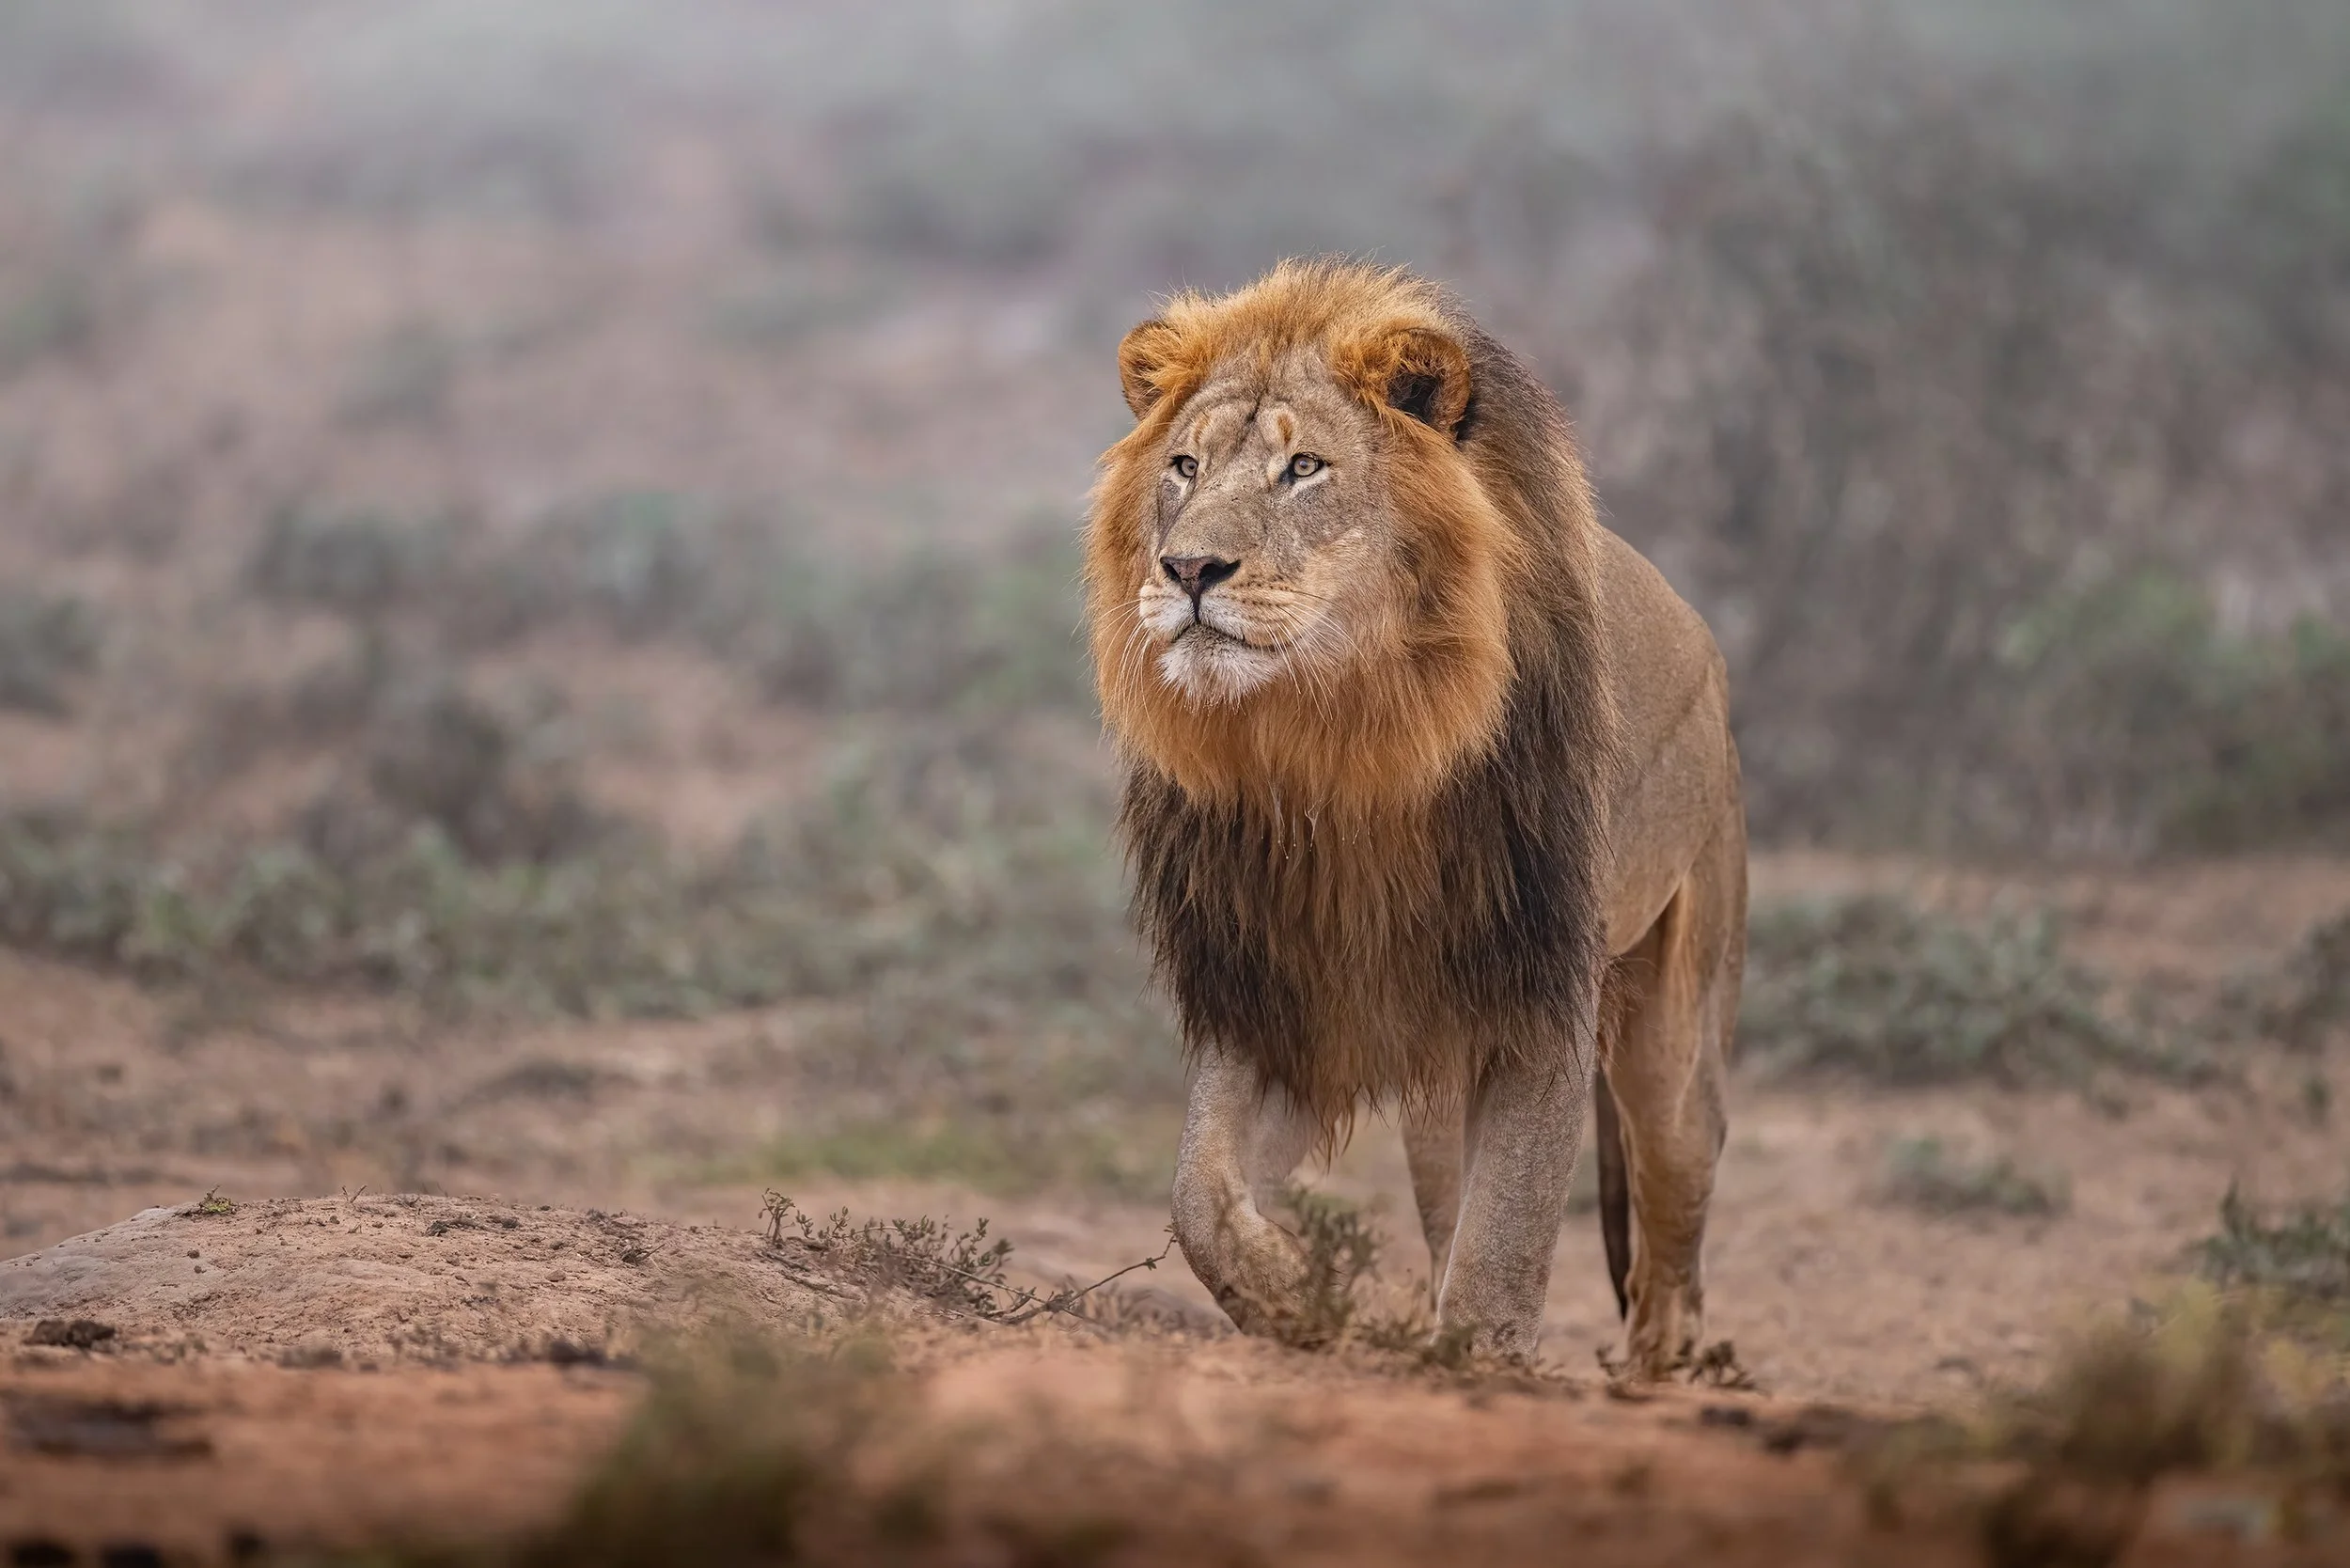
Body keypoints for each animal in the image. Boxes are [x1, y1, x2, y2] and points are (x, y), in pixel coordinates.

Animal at [1083, 260, 1747, 1375]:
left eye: (1304, 468)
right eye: (1182, 465)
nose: (1188, 571)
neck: (1344, 742)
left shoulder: (1539, 995)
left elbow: (1507, 1234)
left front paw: (1478, 1364)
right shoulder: (1272, 989)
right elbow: (1199, 1195)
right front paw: (1292, 1293)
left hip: (1677, 1015)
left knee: (1677, 1192)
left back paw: (1662, 1359)